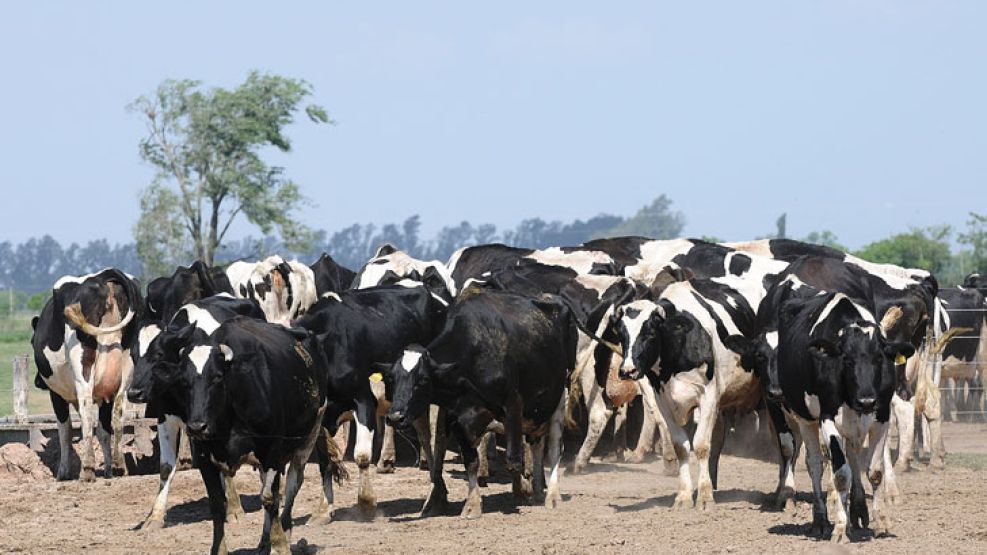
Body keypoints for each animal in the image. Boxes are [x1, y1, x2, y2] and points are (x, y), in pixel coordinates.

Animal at [32, 270, 144, 482]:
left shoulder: (56, 394)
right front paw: (108, 469)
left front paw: (63, 472)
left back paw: (87, 469)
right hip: (126, 372)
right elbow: (103, 430)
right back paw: (119, 466)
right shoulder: (104, 395)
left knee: (86, 417)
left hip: (83, 371)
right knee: (118, 416)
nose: (37, 381)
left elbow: (65, 430)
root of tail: (102, 276)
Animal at [127, 296, 266, 528]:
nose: (133, 393)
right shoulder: (167, 417)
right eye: (133, 355)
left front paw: (235, 510)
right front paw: (155, 516)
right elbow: (166, 467)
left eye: (158, 354)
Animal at [183, 318, 326, 555]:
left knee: (292, 486)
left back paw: (284, 531)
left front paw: (280, 544)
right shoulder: (204, 459)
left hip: (308, 438)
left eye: (217, 377)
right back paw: (264, 542)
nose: (196, 427)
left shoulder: (272, 453)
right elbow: (217, 505)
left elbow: (269, 498)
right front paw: (219, 549)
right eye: (184, 381)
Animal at [382, 288, 576, 520]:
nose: (395, 417)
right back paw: (538, 490)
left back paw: (552, 496)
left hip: (560, 396)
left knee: (555, 448)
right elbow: (471, 462)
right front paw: (472, 505)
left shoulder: (513, 404)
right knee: (536, 444)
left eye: (423, 380)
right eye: (392, 378)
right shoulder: (456, 418)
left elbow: (512, 461)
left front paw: (522, 489)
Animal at [776, 294, 916, 544]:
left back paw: (858, 512)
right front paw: (840, 528)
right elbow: (841, 475)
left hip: (853, 426)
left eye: (879, 358)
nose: (867, 400)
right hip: (805, 419)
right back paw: (821, 522)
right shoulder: (827, 418)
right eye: (847, 360)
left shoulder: (881, 416)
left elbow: (875, 471)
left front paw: (880, 522)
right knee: (815, 464)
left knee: (852, 455)